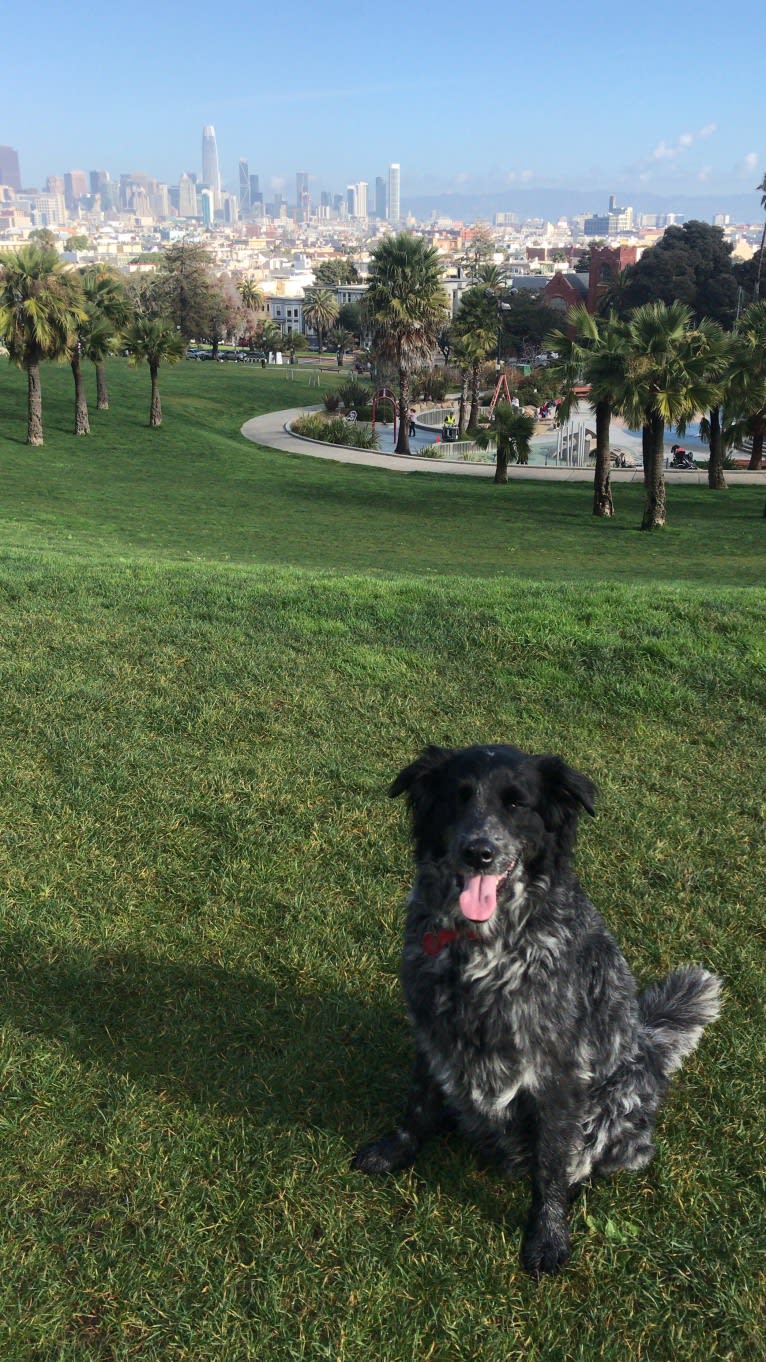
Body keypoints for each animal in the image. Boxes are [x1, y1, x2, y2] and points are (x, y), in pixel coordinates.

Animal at [348, 746, 719, 1274]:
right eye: (458, 797)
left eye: (516, 804)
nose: (478, 851)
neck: (484, 944)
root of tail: (650, 1045)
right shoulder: (431, 1032)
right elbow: (417, 1104)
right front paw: (396, 1149)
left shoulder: (558, 1068)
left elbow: (551, 1162)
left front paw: (548, 1234)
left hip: (618, 1102)